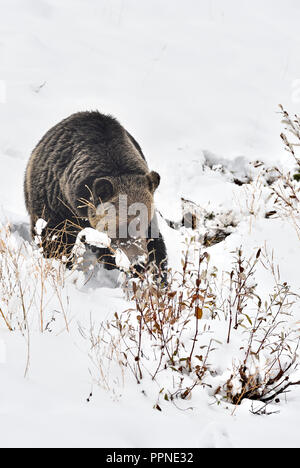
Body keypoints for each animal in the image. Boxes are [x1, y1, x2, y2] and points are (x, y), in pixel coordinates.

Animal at [24, 110, 168, 274]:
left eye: (144, 222)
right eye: (120, 225)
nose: (138, 261)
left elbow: (156, 247)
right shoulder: (57, 205)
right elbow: (56, 239)